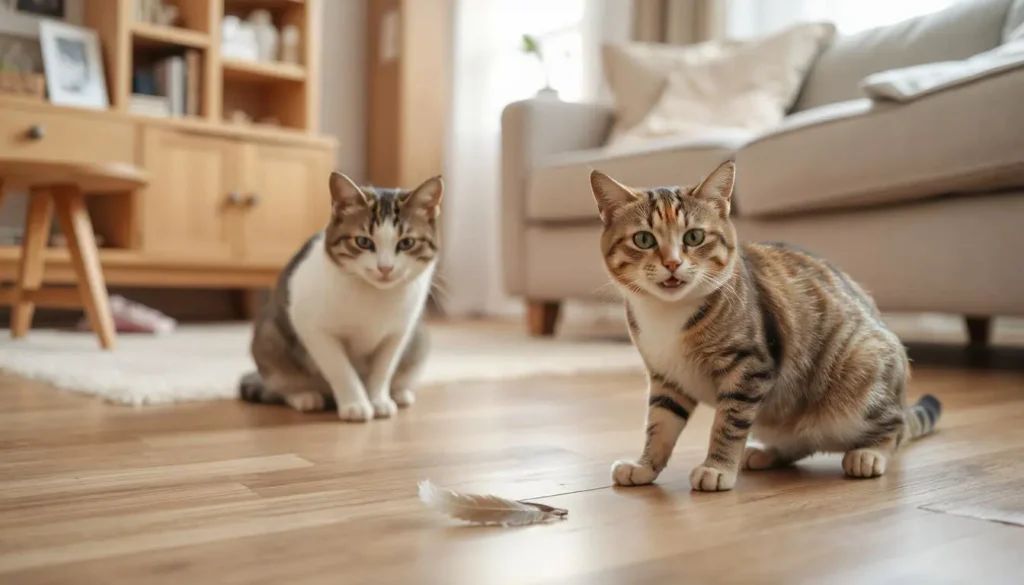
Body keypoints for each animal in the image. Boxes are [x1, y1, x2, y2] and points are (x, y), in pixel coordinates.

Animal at [593, 158, 942, 489]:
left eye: (694, 236)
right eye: (643, 239)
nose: (672, 263)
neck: (667, 313)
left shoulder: (749, 367)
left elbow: (728, 424)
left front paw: (717, 468)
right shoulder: (666, 377)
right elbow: (660, 424)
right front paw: (645, 466)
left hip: (862, 375)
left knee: (893, 427)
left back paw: (869, 454)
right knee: (800, 443)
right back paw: (766, 453)